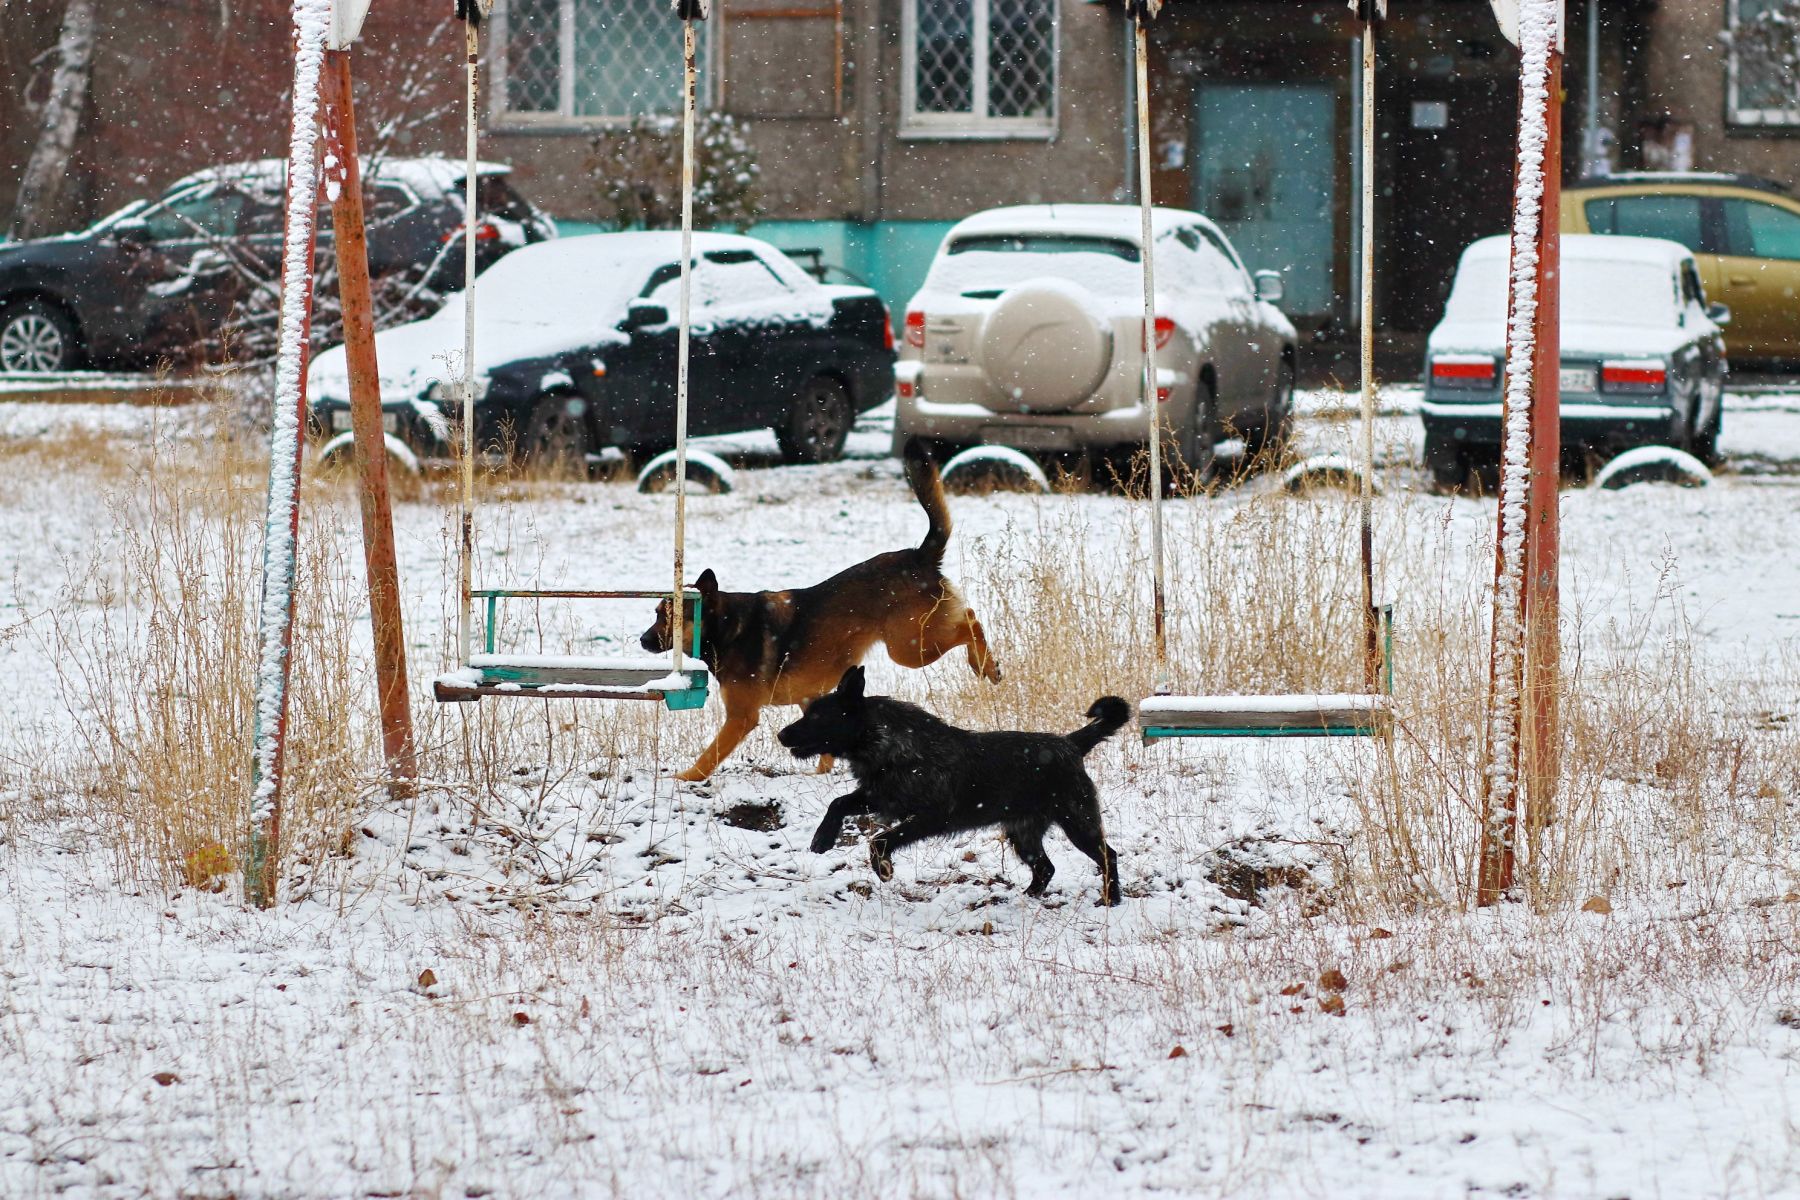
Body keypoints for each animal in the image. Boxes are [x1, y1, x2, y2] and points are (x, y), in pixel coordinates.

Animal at [640, 446, 1000, 784]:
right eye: (656, 612)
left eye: (668, 618)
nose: (642, 640)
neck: (727, 628)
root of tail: (919, 556)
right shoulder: (808, 696)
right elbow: (823, 745)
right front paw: (821, 774)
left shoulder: (742, 717)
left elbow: (710, 755)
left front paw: (685, 779)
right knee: (966, 618)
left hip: (909, 647)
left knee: (970, 620)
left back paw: (985, 664)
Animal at [774, 665, 1123, 910]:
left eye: (817, 715)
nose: (781, 735)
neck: (884, 740)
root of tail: (1071, 744)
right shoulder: (880, 797)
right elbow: (838, 802)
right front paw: (822, 838)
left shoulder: (929, 818)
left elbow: (880, 840)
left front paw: (883, 868)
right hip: (1023, 833)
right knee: (1045, 868)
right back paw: (1027, 898)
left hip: (1078, 822)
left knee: (1108, 856)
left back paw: (1111, 900)